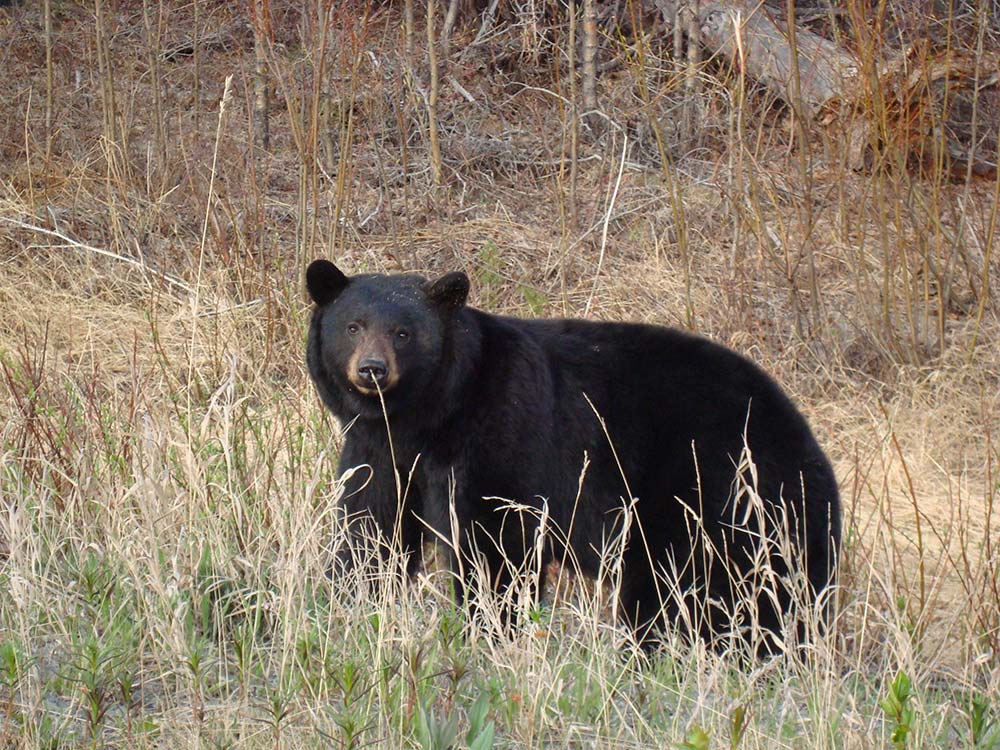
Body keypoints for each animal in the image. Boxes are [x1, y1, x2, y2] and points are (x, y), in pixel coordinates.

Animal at [306, 259, 841, 654]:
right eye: (352, 326)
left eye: (403, 332)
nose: (372, 370)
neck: (425, 418)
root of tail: (810, 449)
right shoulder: (377, 450)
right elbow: (370, 528)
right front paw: (349, 605)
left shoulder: (501, 432)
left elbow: (496, 540)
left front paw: (489, 631)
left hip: (717, 495)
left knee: (703, 594)